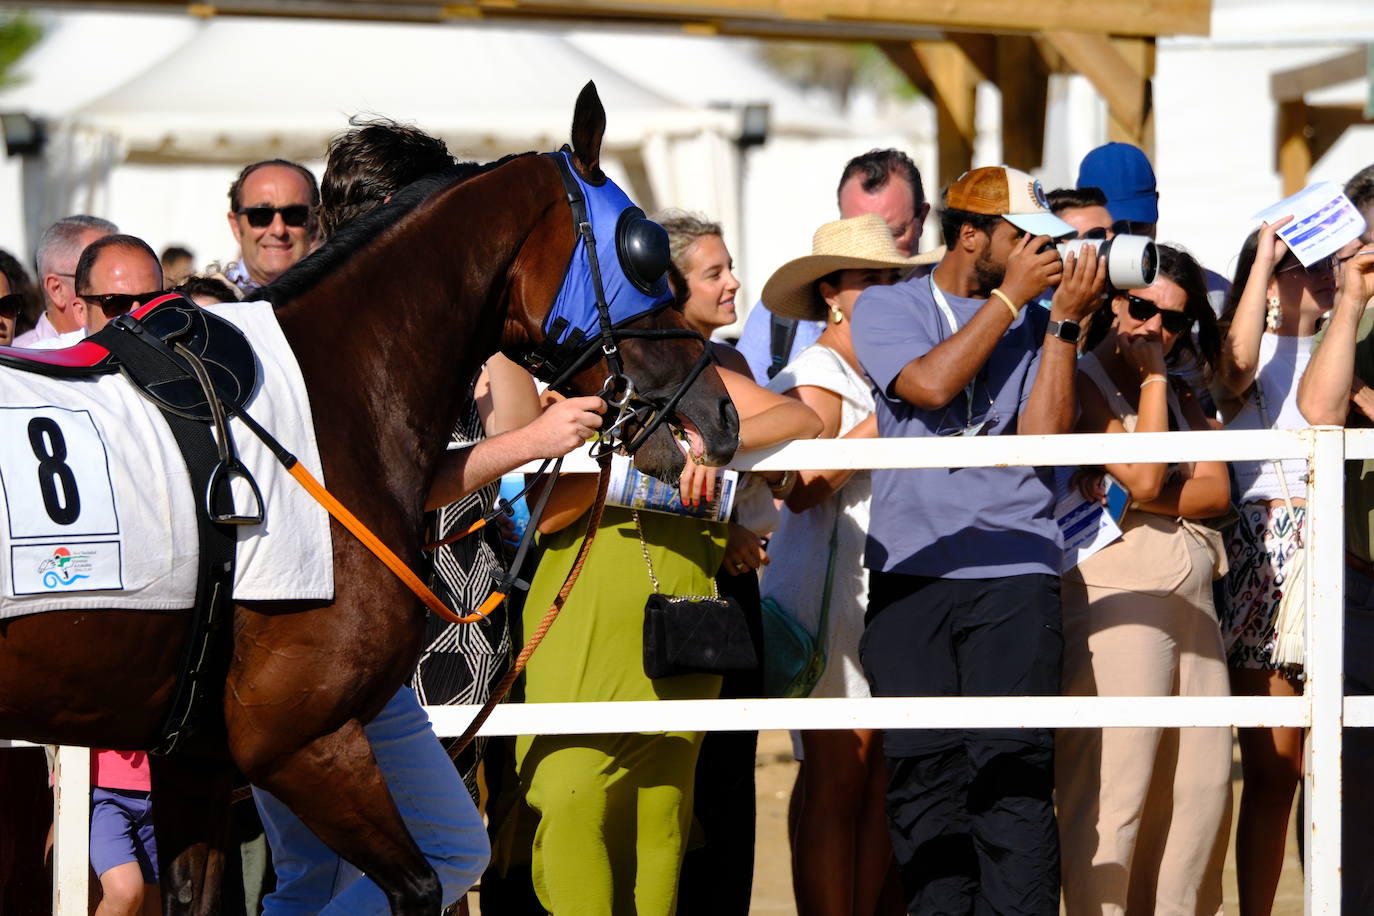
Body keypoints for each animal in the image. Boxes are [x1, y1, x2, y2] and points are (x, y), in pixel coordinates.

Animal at [0, 82, 741, 911]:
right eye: (645, 252)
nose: (722, 412)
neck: (325, 402)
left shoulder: (196, 756)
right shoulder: (299, 742)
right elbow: (417, 887)